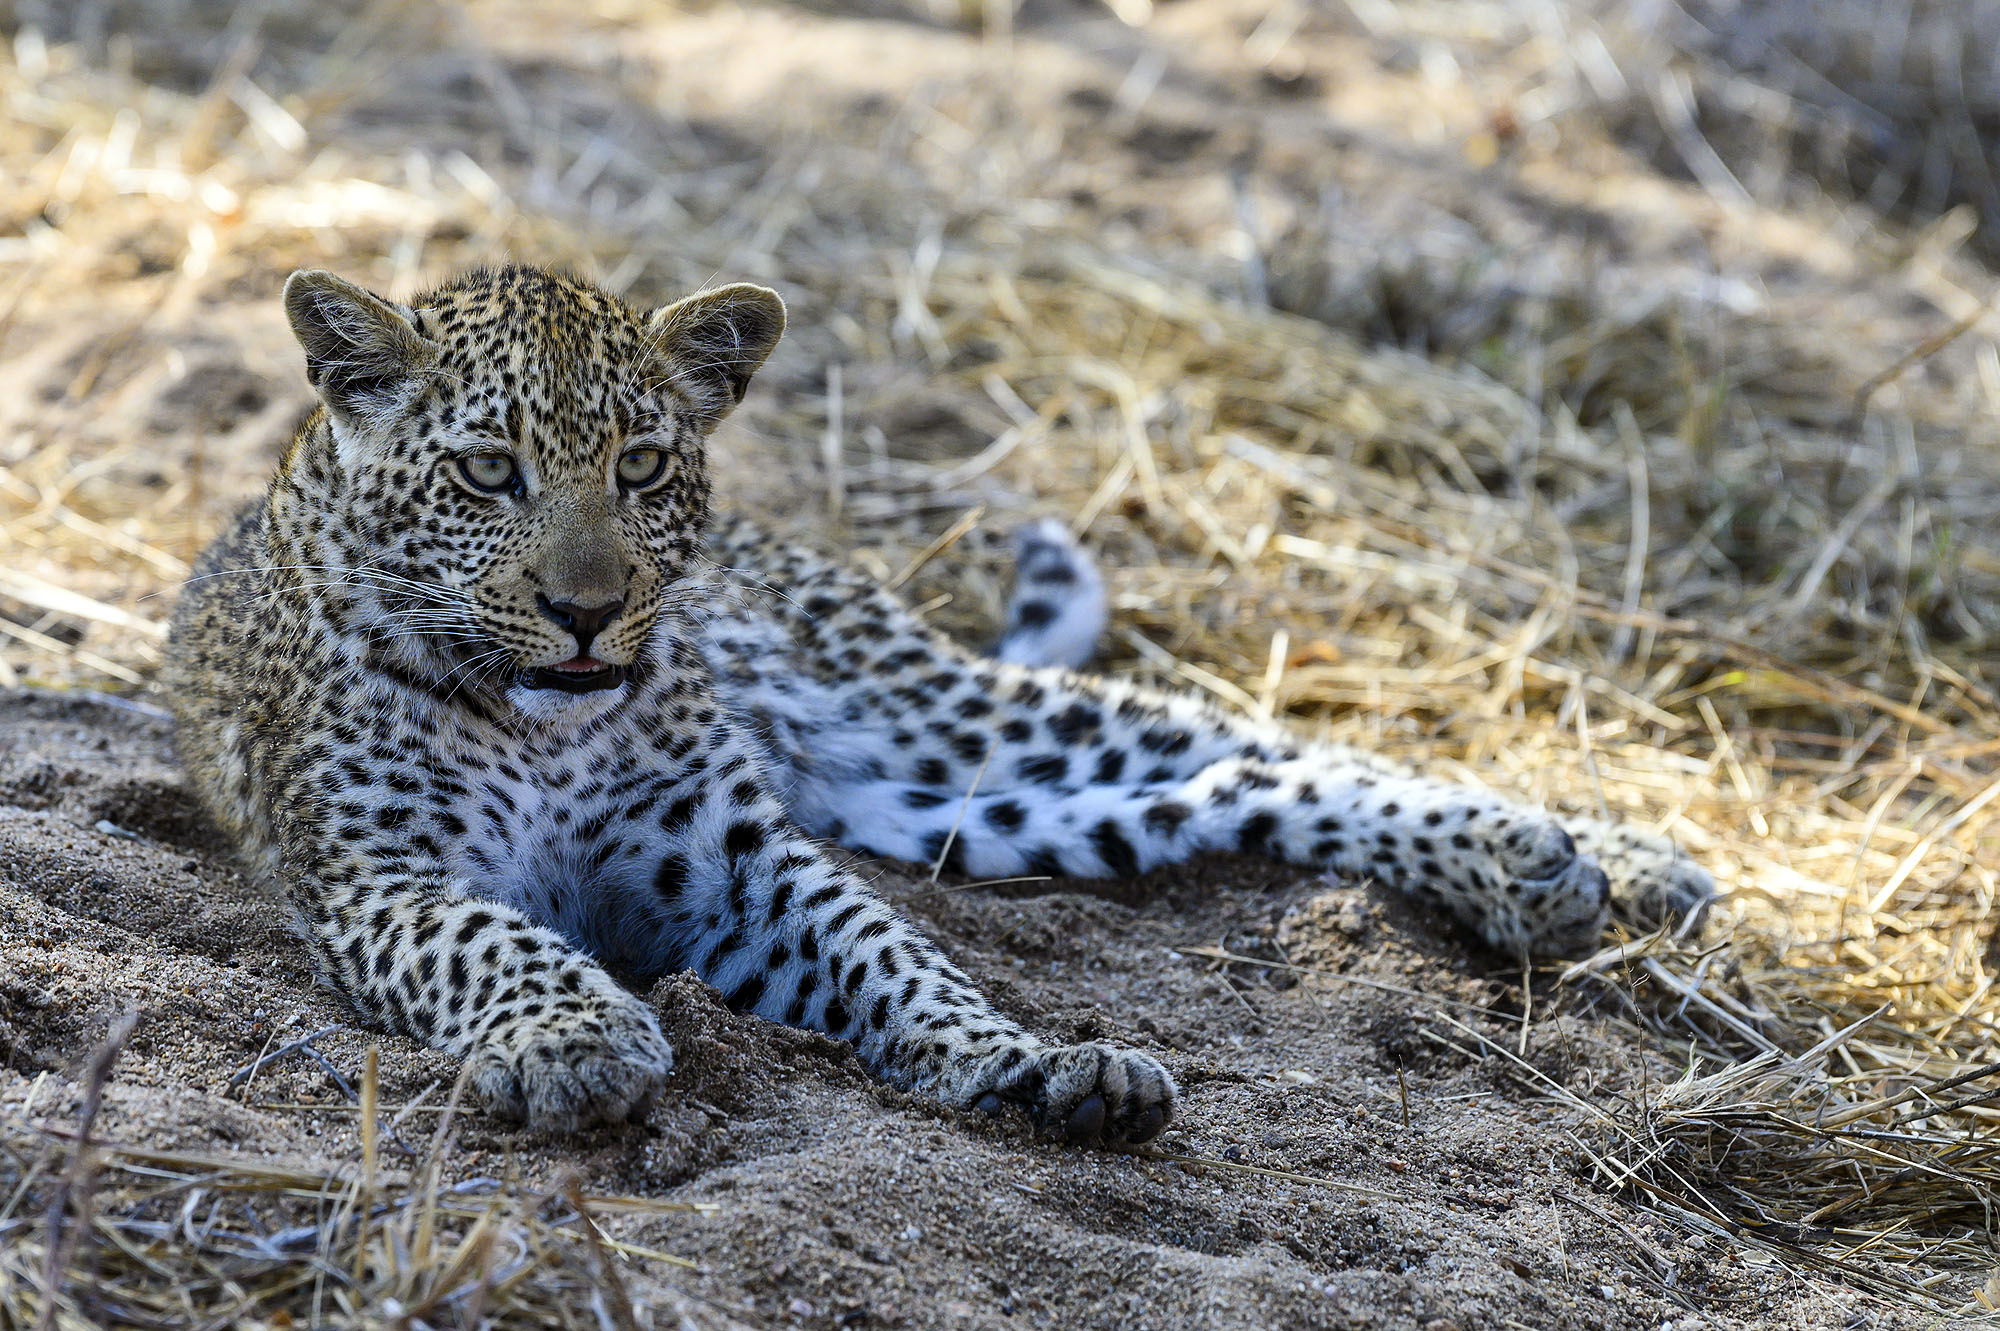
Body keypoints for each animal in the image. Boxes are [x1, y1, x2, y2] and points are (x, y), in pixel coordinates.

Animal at [164, 263, 1712, 1148]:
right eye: (489, 472)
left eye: (644, 465)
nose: (589, 609)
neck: (545, 721)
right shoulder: (379, 875)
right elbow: (492, 938)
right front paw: (575, 1038)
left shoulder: (738, 852)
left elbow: (890, 954)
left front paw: (1019, 1055)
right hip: (968, 810)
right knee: (1224, 793)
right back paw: (1559, 870)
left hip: (945, 713)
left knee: (1255, 738)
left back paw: (1605, 856)